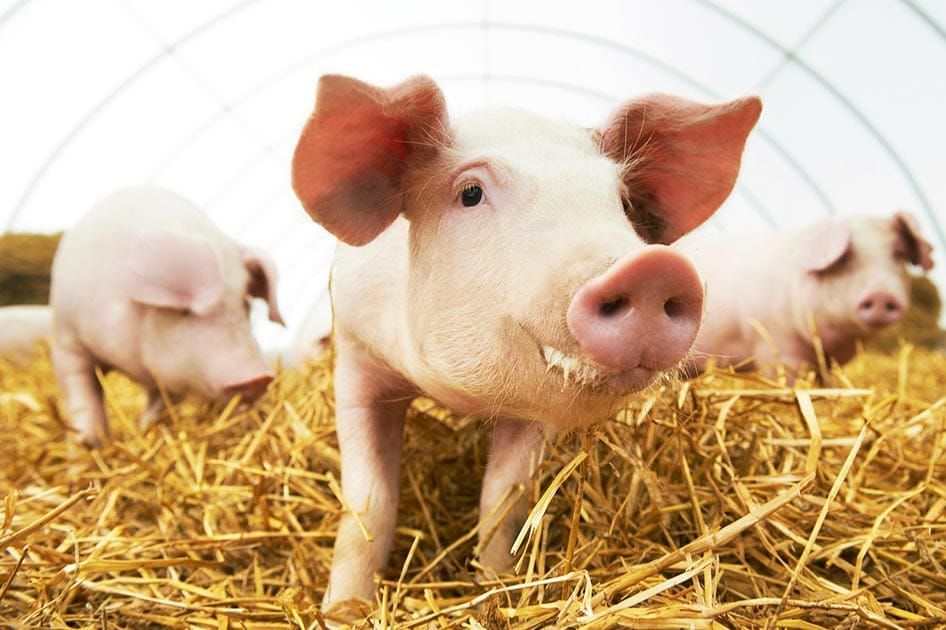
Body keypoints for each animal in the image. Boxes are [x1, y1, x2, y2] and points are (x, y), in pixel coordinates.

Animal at [50, 186, 284, 446]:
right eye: (185, 312)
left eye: (244, 305)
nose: (258, 378)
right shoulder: (67, 340)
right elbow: (82, 396)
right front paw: (88, 444)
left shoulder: (171, 377)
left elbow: (161, 406)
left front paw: (146, 432)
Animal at [290, 74, 761, 608]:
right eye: (470, 193)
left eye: (622, 202)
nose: (653, 268)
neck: (460, 397)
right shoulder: (355, 357)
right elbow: (368, 501)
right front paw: (345, 610)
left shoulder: (535, 412)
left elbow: (504, 499)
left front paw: (494, 590)